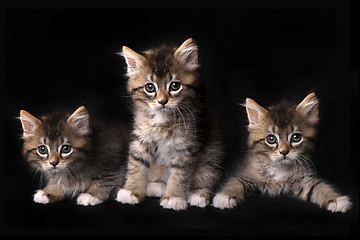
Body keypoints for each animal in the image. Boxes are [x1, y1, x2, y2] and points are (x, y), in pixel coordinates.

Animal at [115, 37, 224, 210]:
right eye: (150, 87)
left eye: (174, 85)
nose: (162, 101)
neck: (163, 119)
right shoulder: (142, 137)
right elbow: (136, 163)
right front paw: (131, 191)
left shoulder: (187, 144)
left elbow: (180, 173)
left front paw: (174, 197)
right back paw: (157, 186)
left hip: (213, 155)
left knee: (208, 175)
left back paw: (199, 194)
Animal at [214, 93, 352, 213]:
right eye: (271, 139)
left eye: (296, 137)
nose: (284, 152)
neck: (281, 168)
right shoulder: (247, 174)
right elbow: (236, 183)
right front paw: (225, 196)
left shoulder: (304, 180)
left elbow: (319, 186)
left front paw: (335, 200)